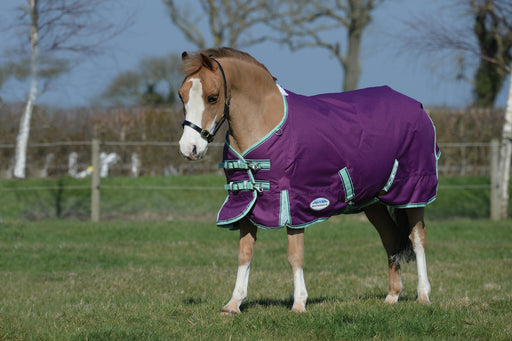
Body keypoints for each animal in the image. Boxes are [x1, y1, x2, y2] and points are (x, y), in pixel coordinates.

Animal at [177, 47, 440, 314]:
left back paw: (423, 295)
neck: (266, 123)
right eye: (181, 96)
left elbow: (295, 255)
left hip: (414, 192)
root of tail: (418, 107)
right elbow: (245, 253)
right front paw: (233, 304)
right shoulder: (247, 202)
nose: (190, 148)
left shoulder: (294, 203)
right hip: (373, 202)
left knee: (418, 240)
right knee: (390, 240)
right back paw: (392, 296)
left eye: (212, 98)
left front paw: (299, 304)